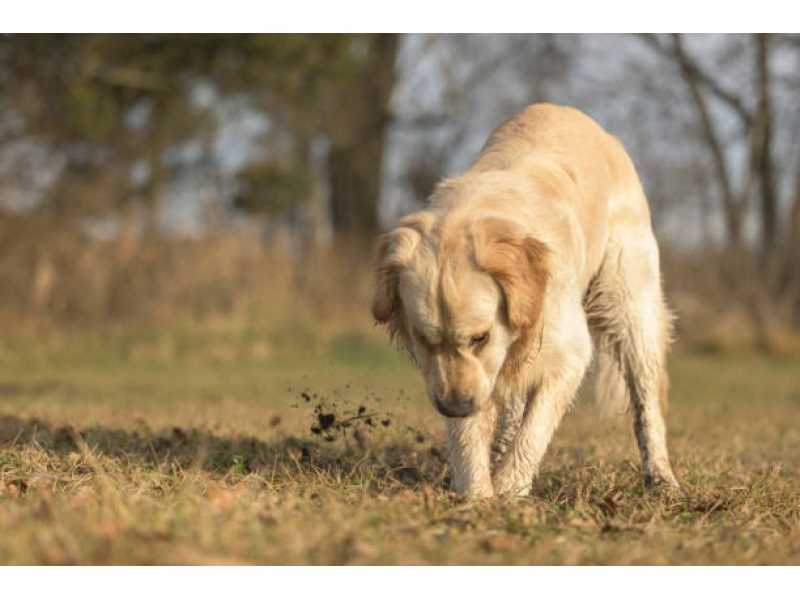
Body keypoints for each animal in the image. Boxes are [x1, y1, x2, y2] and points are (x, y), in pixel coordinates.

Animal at [372, 103, 680, 496]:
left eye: (480, 337)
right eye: (423, 339)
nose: (454, 407)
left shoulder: (566, 354)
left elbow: (535, 429)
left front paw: (508, 489)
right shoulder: (468, 375)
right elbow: (470, 437)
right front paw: (478, 495)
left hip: (628, 303)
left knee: (646, 400)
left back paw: (661, 478)